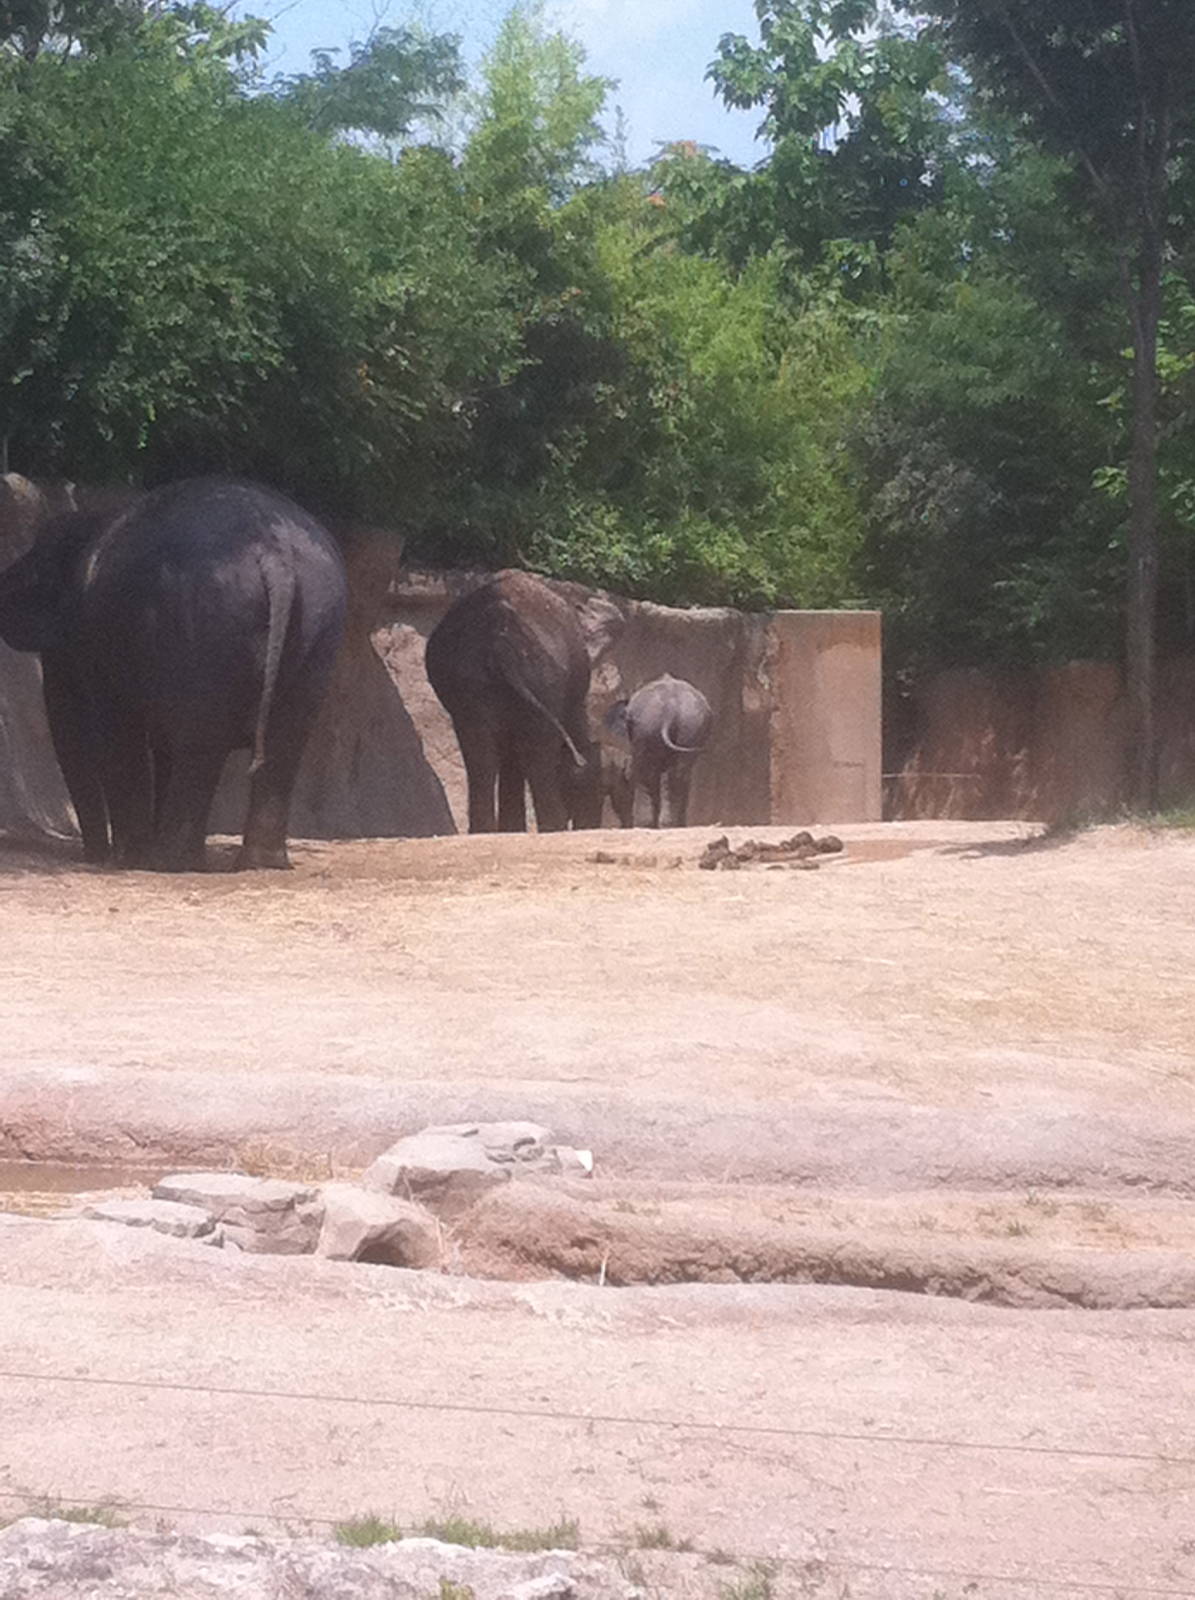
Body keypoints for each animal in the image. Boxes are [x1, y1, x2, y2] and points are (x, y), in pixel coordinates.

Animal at [0, 477, 347, 871]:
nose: (94, 855)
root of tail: (277, 557)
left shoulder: (100, 639)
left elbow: (116, 733)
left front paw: (127, 858)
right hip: (318, 623)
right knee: (282, 743)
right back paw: (258, 863)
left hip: (209, 628)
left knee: (199, 745)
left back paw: (171, 861)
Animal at [425, 569, 602, 833]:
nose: (589, 826)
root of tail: (499, 638)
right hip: (541, 681)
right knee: (536, 755)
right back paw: (551, 827)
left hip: (473, 682)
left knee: (481, 755)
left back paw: (485, 831)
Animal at [606, 672, 713, 828]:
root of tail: (670, 711)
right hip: (691, 726)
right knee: (679, 772)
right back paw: (673, 824)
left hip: (648, 727)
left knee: (649, 773)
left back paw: (650, 824)